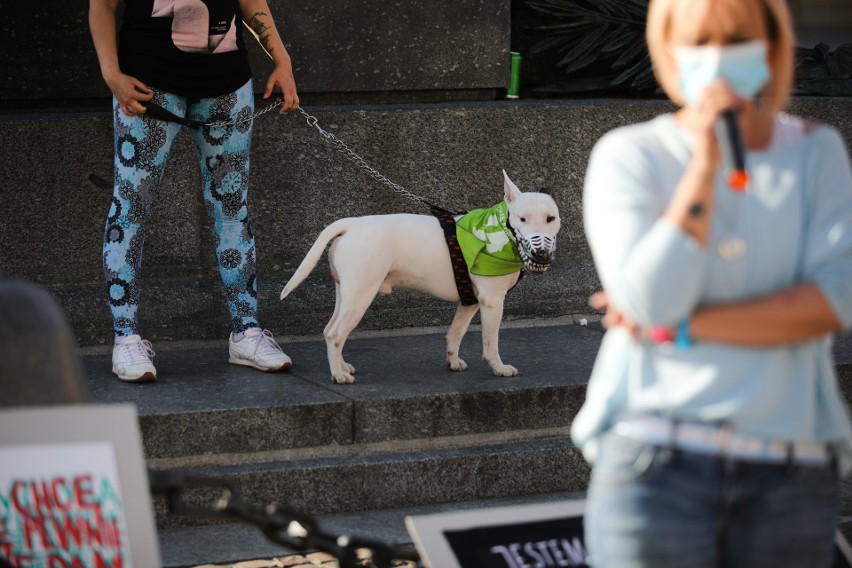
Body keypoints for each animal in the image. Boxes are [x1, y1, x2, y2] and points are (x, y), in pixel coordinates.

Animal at [280, 171, 560, 384]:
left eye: (551, 218)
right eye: (522, 218)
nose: (542, 254)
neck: (499, 229)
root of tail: (351, 224)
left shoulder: (469, 301)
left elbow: (455, 332)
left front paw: (453, 361)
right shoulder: (492, 301)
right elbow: (491, 342)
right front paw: (499, 368)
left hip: (345, 293)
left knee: (330, 329)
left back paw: (342, 366)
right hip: (361, 294)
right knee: (336, 334)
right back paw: (339, 375)